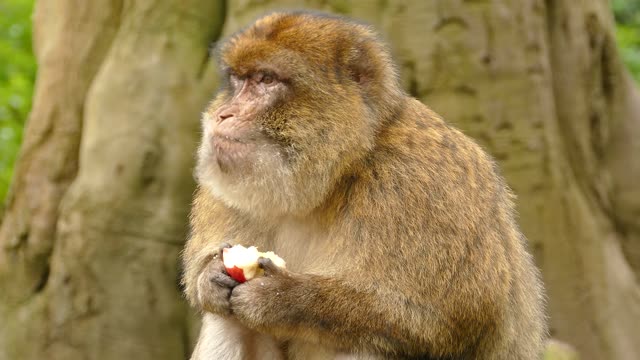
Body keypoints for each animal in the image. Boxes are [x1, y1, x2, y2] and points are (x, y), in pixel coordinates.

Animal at [180, 11, 544, 360]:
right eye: (238, 80)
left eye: (266, 79)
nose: (224, 115)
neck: (337, 176)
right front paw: (210, 277)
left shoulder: (421, 184)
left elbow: (450, 320)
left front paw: (283, 298)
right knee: (228, 320)